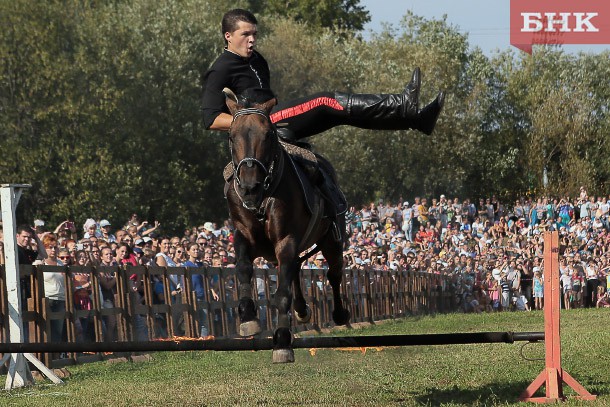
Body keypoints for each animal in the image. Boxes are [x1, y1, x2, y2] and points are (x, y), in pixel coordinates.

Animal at [223, 88, 350, 364]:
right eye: (231, 136)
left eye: (268, 134)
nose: (249, 187)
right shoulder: (244, 236)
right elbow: (243, 268)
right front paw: (247, 317)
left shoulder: (286, 240)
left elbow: (281, 294)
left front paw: (281, 341)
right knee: (295, 270)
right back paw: (302, 310)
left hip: (331, 241)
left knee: (333, 273)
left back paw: (340, 314)